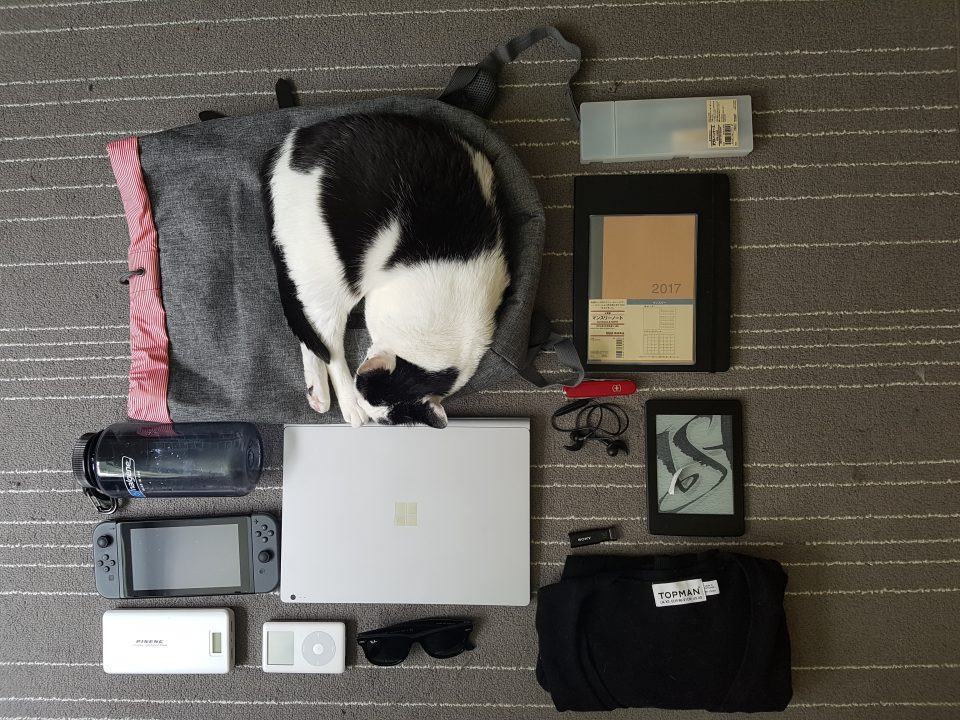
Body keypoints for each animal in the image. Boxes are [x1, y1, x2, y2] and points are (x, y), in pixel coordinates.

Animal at [261, 113, 510, 428]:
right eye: (361, 387)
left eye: (382, 419)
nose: (365, 408)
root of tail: (287, 148)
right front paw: (352, 402)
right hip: (334, 271)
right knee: (328, 341)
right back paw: (345, 405)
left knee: (312, 332)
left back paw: (317, 393)